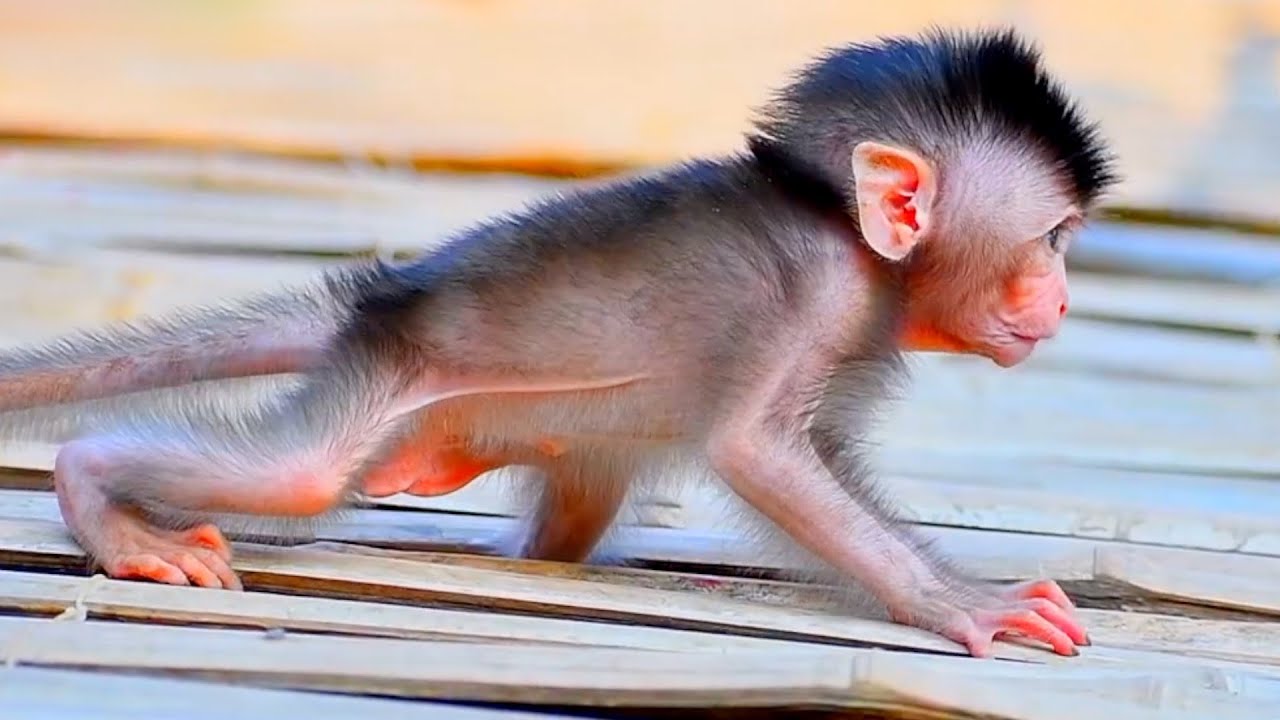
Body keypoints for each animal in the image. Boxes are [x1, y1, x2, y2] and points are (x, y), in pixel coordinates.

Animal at [0, 27, 1117, 658]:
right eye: (1053, 239)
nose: (1061, 301)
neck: (844, 228)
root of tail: (385, 293)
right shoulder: (814, 296)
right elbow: (756, 452)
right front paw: (964, 603)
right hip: (386, 371)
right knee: (300, 476)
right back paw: (103, 498)